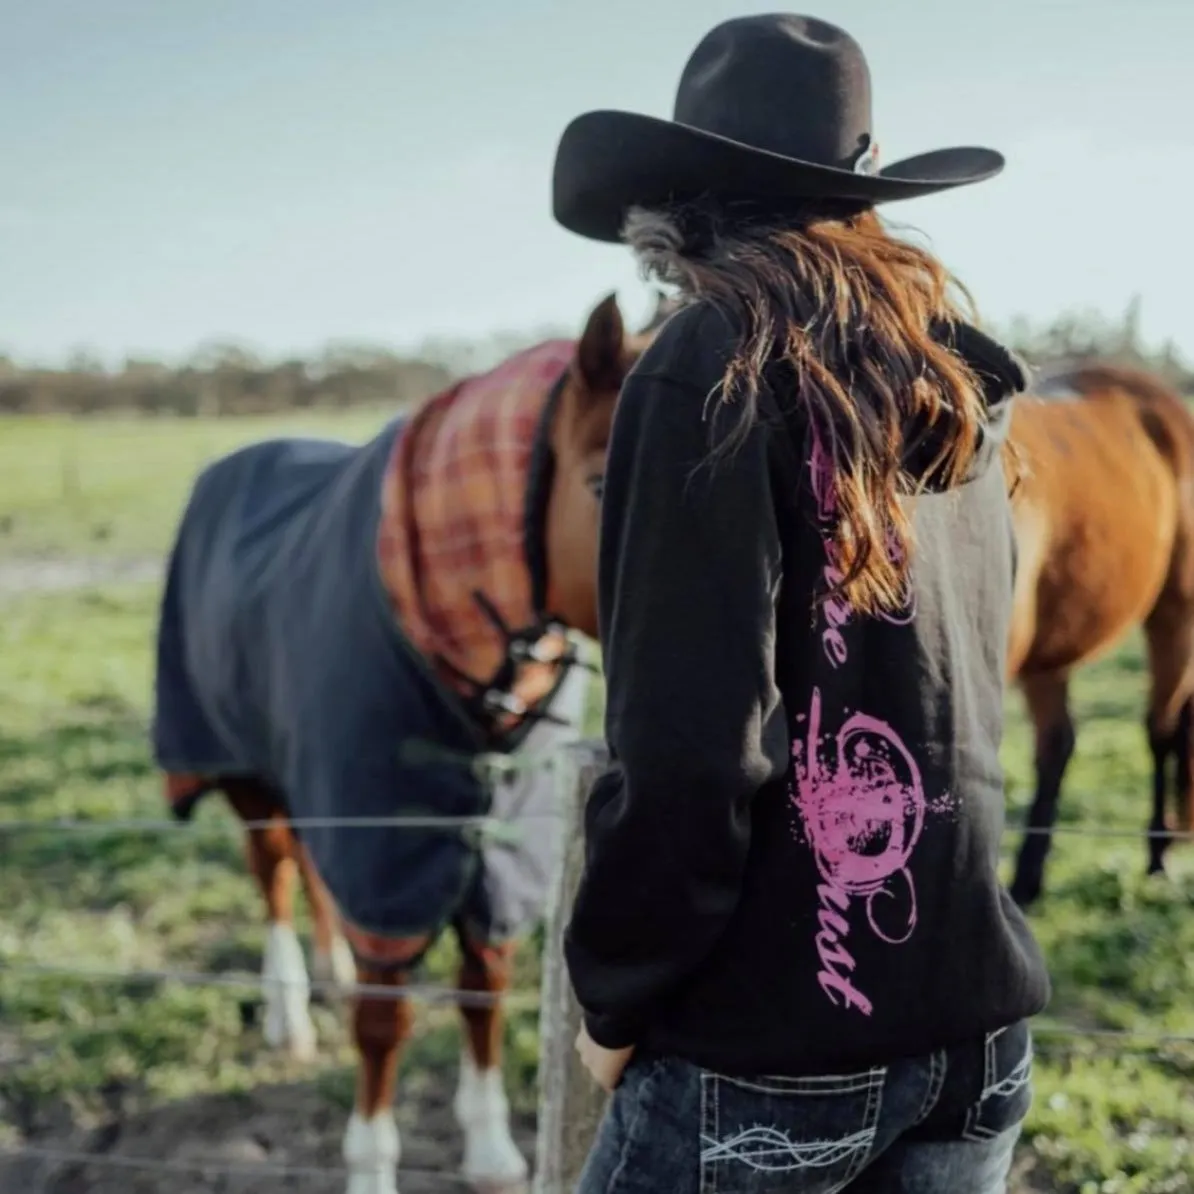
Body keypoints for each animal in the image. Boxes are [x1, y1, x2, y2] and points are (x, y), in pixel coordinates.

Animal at [151, 291, 663, 1194]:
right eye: (604, 480)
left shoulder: (494, 849)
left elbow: (483, 986)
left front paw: (491, 1150)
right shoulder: (389, 851)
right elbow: (383, 1025)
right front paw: (371, 1163)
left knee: (309, 870)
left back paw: (327, 971)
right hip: (247, 771)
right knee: (273, 874)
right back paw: (290, 1012)